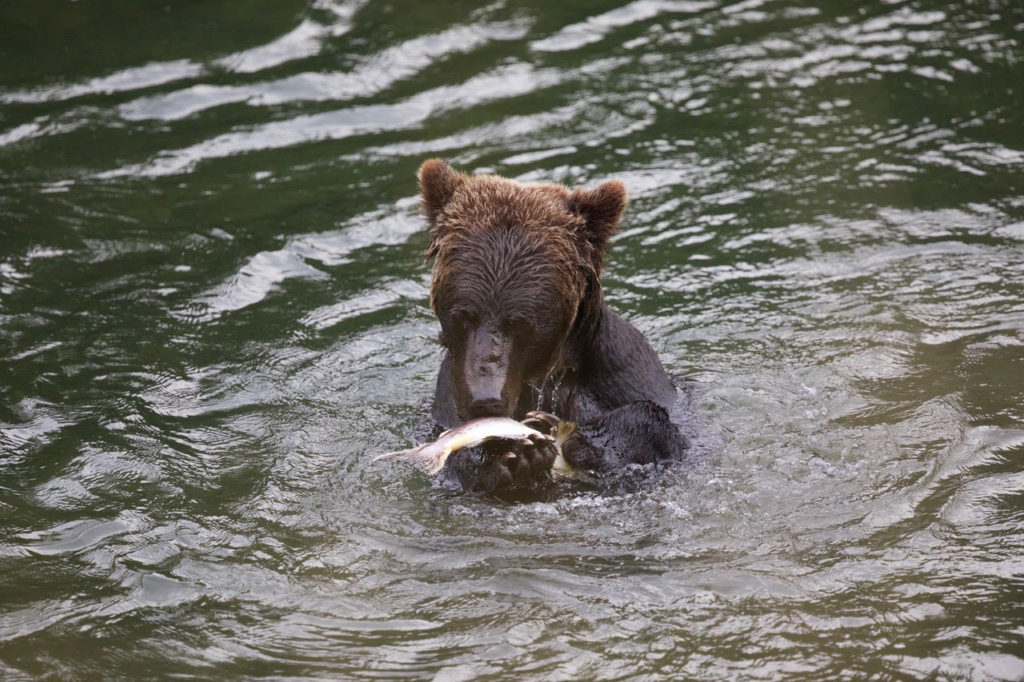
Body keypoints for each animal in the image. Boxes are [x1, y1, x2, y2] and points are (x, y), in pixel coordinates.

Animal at [418, 159, 688, 492]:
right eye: (463, 315)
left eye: (521, 323)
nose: (485, 400)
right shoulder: (446, 404)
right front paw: (510, 456)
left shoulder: (625, 380)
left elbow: (654, 419)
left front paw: (582, 440)